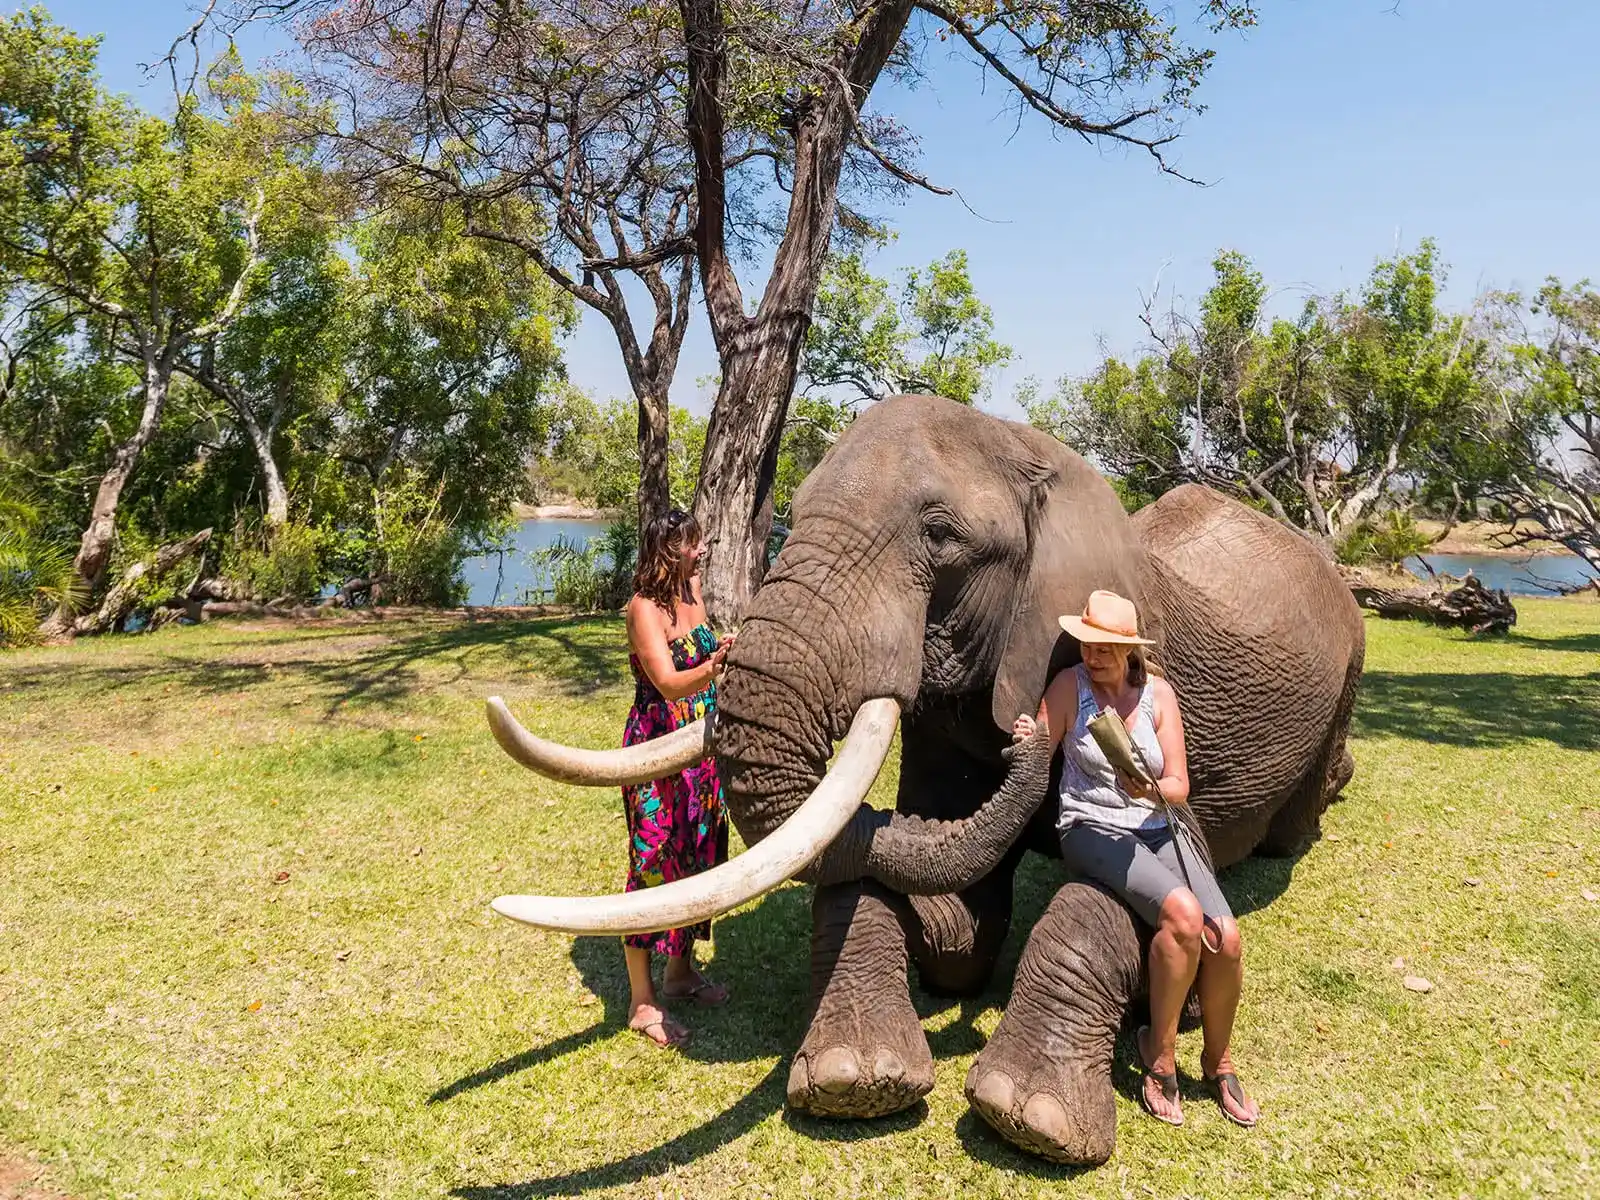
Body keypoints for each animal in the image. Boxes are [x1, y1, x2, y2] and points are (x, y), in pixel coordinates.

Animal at [486, 393, 1364, 1164]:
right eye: (794, 511)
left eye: (940, 535)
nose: (1031, 742)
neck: (1036, 457)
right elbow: (951, 922)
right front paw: (855, 1079)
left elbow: (1124, 902)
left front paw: (1033, 1118)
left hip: (1350, 665)